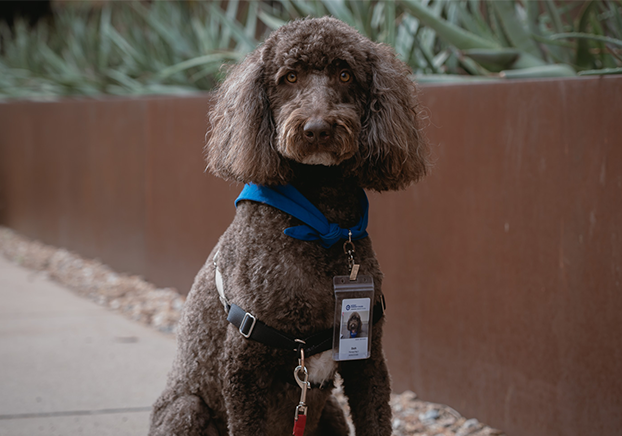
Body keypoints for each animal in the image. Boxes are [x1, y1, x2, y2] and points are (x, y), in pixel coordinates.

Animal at [150, 15, 428, 434]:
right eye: (290, 77)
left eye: (345, 73)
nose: (317, 129)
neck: (322, 224)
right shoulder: (244, 368)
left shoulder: (368, 363)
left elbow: (376, 419)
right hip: (187, 410)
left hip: (331, 413)